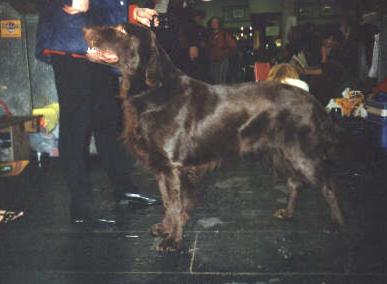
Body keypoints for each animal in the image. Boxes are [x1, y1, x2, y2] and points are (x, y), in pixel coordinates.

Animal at [83, 23, 344, 251]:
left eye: (121, 29)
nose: (85, 29)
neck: (154, 90)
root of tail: (311, 99)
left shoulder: (173, 167)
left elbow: (176, 204)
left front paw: (172, 241)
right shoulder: (162, 168)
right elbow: (168, 202)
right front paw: (166, 229)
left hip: (302, 153)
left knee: (328, 186)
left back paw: (336, 223)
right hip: (280, 153)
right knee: (294, 182)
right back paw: (288, 213)